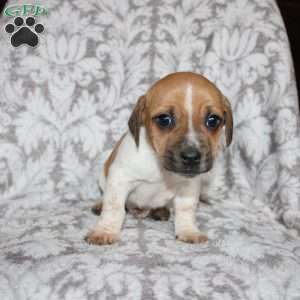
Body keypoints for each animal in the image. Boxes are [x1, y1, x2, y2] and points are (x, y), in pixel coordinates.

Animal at [84, 71, 232, 245]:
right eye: (164, 120)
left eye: (213, 121)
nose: (191, 157)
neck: (161, 167)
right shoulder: (119, 179)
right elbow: (114, 208)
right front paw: (105, 230)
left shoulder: (188, 187)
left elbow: (186, 210)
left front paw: (188, 230)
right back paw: (100, 205)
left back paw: (160, 211)